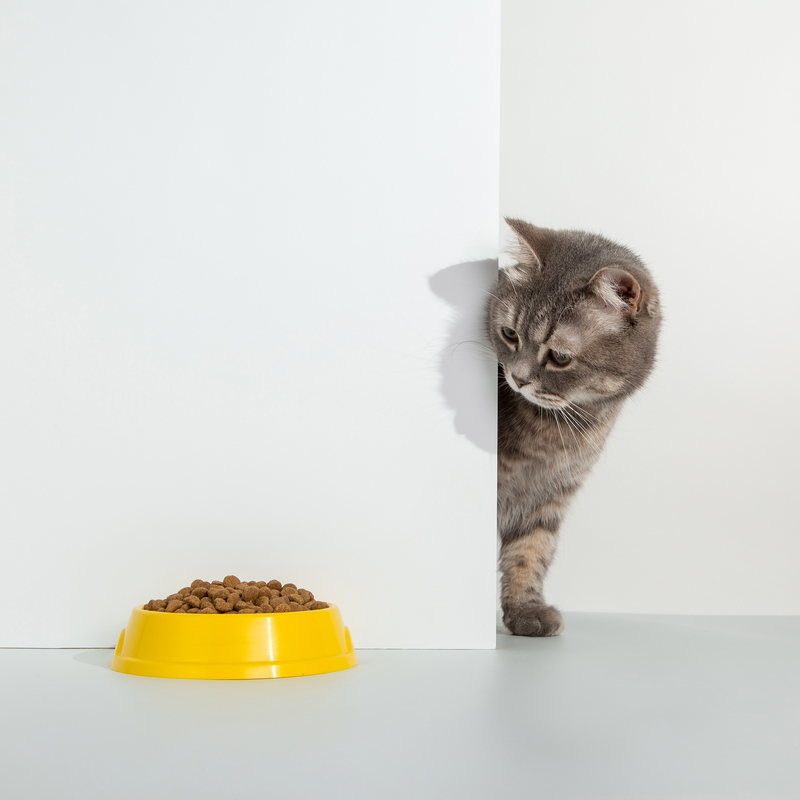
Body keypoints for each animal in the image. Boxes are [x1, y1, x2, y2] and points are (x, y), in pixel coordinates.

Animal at [488, 219, 664, 636]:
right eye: (510, 335)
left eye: (560, 357)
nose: (517, 379)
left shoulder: (549, 496)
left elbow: (531, 551)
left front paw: (526, 609)